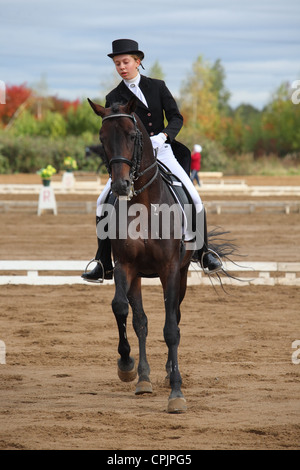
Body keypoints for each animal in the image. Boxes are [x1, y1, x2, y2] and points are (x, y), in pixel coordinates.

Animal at [88, 97, 224, 414]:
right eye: (102, 139)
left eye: (132, 136)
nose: (121, 186)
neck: (144, 204)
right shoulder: (125, 266)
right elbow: (122, 309)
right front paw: (126, 366)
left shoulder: (170, 269)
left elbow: (171, 328)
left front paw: (176, 393)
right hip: (138, 277)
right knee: (141, 322)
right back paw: (143, 379)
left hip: (182, 274)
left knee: (175, 316)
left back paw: (167, 372)